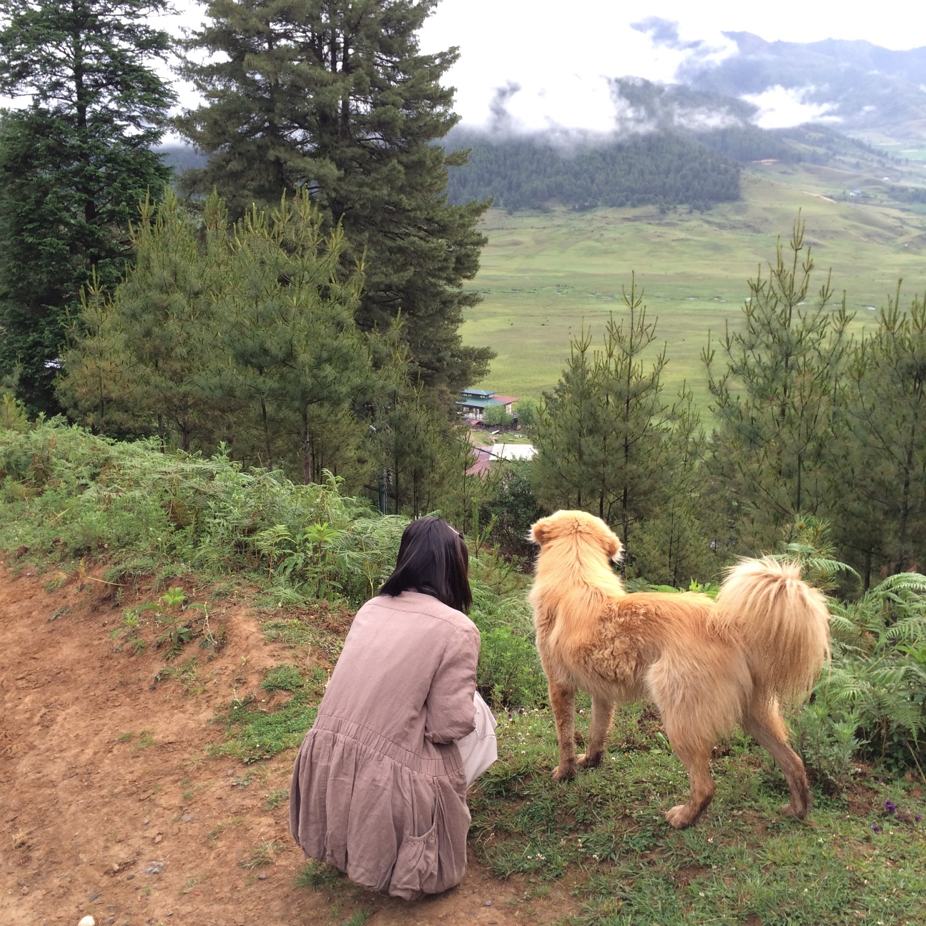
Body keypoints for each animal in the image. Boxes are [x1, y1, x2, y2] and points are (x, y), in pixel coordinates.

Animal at [528, 512, 832, 832]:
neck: (576, 569)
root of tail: (726, 626)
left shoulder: (559, 686)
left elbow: (565, 737)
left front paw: (564, 773)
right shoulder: (603, 694)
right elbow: (596, 732)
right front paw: (590, 761)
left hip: (680, 718)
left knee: (706, 785)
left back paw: (683, 817)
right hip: (755, 717)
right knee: (793, 761)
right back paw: (797, 809)